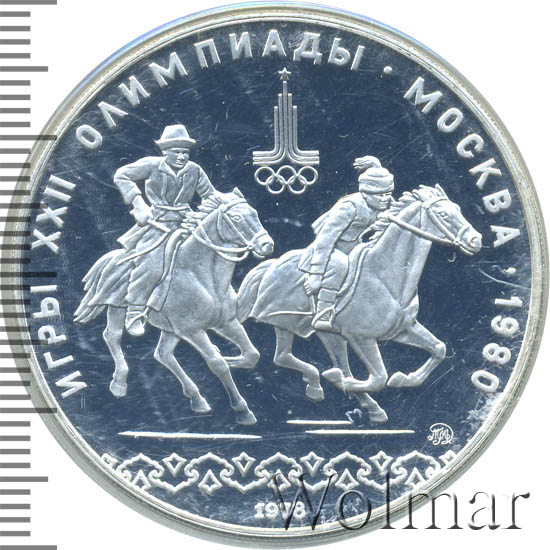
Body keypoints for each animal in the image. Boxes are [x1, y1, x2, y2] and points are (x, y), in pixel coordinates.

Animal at [74, 188, 274, 426]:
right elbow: (217, 364)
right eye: (236, 218)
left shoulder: (225, 323)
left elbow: (252, 354)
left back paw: (196, 398)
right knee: (112, 336)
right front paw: (242, 410)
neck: (203, 276)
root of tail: (112, 257)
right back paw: (119, 383)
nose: (267, 245)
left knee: (163, 354)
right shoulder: (193, 330)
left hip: (171, 330)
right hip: (117, 308)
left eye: (254, 212)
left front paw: (231, 359)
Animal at [237, 185, 482, 422]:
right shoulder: (361, 337)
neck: (384, 276)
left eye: (458, 209)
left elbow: (439, 349)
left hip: (328, 335)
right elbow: (378, 378)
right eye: (443, 214)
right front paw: (338, 379)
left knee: (287, 357)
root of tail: (270, 265)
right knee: (294, 359)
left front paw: (405, 379)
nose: (476, 240)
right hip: (290, 322)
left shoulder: (403, 329)